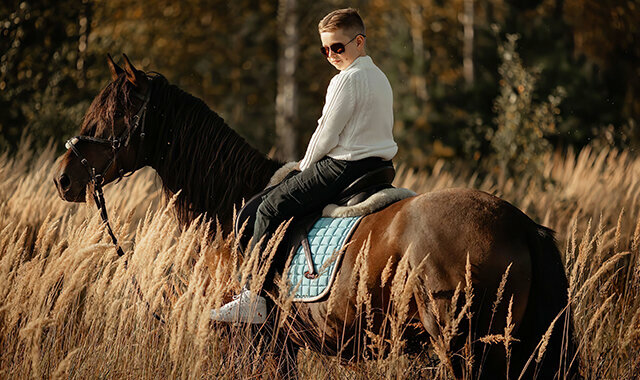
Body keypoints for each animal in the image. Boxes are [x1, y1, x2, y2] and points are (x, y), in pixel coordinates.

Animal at [52, 55, 576, 378]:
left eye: (111, 116)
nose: (63, 179)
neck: (230, 203)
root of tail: (519, 223)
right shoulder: (282, 345)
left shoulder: (247, 343)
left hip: (469, 351)